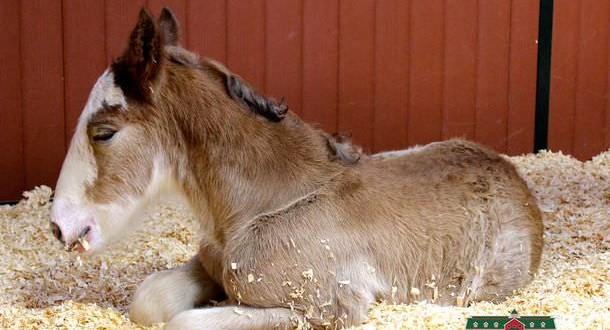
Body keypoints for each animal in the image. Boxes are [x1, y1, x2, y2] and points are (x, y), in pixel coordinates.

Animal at [50, 7, 540, 330]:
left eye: (104, 133)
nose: (59, 226)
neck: (265, 204)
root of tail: (516, 179)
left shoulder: (323, 308)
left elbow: (183, 322)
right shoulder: (210, 262)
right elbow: (150, 301)